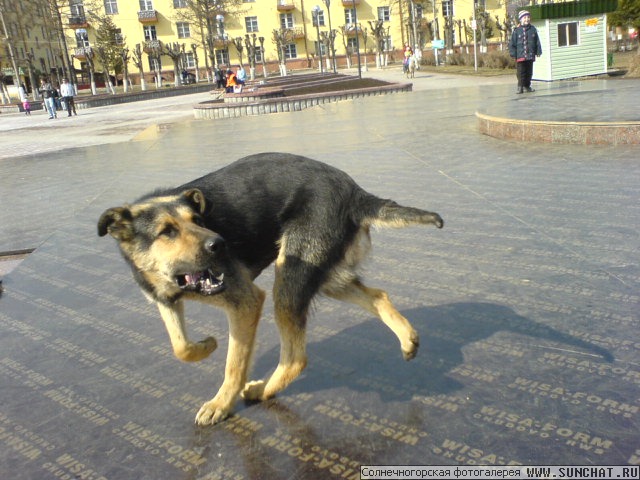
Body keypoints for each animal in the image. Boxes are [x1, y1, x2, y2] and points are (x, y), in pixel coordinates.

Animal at [97, 152, 442, 426]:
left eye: (198, 219)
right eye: (166, 232)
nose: (219, 244)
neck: (168, 278)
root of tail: (356, 193)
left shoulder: (246, 301)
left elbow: (234, 364)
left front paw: (221, 403)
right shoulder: (166, 299)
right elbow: (180, 346)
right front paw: (205, 345)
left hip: (288, 280)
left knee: (296, 358)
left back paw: (262, 390)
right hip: (326, 277)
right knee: (378, 295)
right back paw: (408, 340)